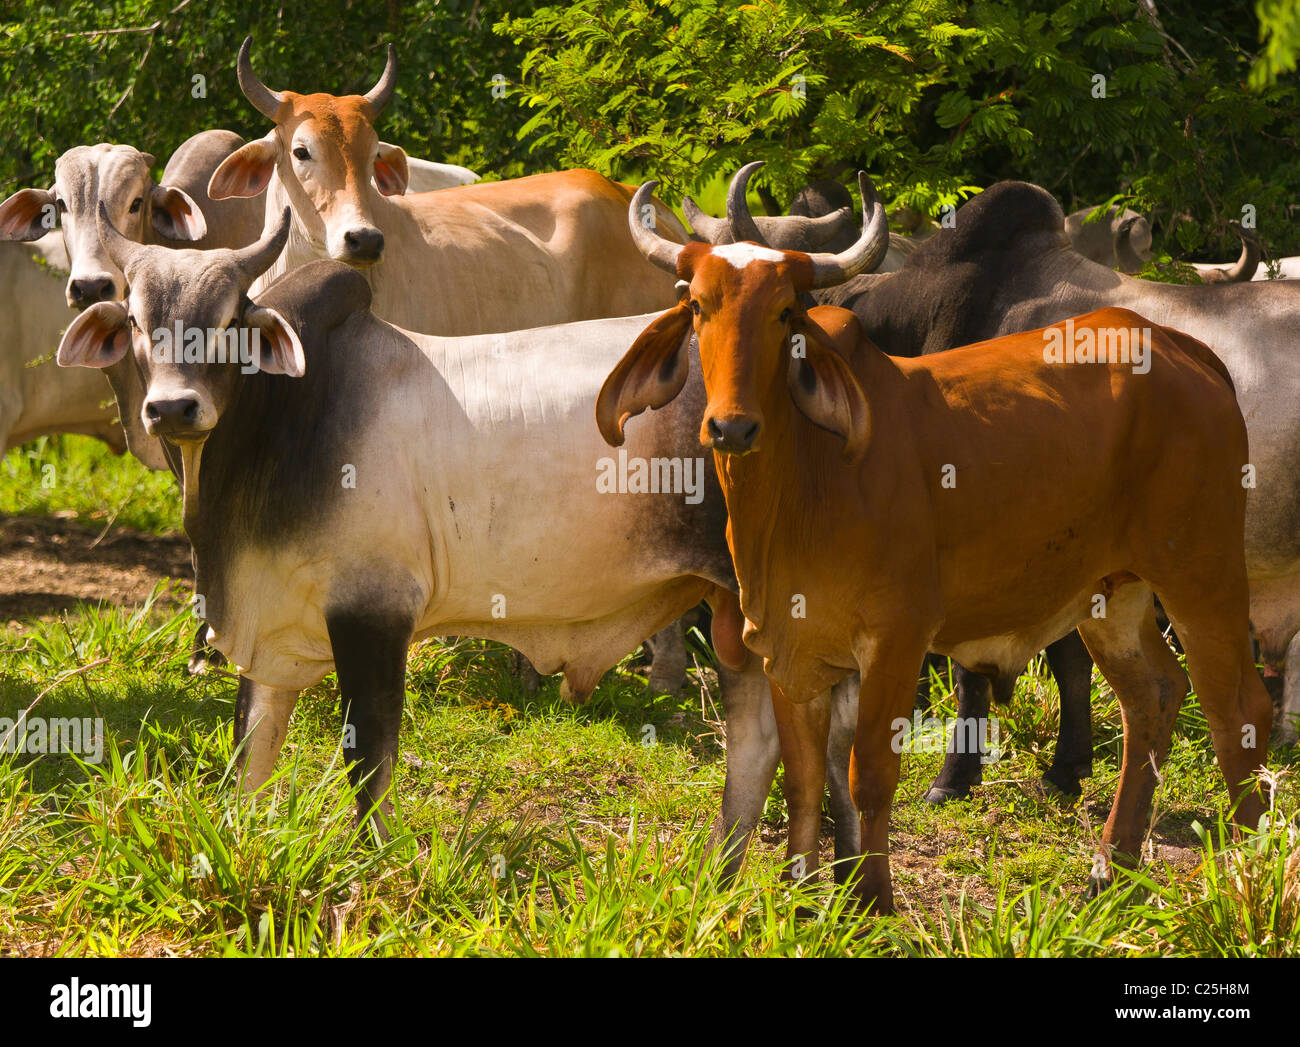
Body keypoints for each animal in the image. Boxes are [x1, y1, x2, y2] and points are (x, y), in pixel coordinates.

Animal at [603, 175, 1274, 910]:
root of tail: (1189, 351)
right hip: (1111, 593)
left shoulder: (897, 639)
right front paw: (800, 900)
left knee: (1241, 712)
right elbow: (802, 780)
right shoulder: (787, 647)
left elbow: (869, 774)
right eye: (697, 306)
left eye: (785, 313)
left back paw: (1249, 875)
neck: (807, 476)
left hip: (1202, 573)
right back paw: (1111, 867)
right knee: (1152, 696)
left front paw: (872, 900)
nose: (730, 426)